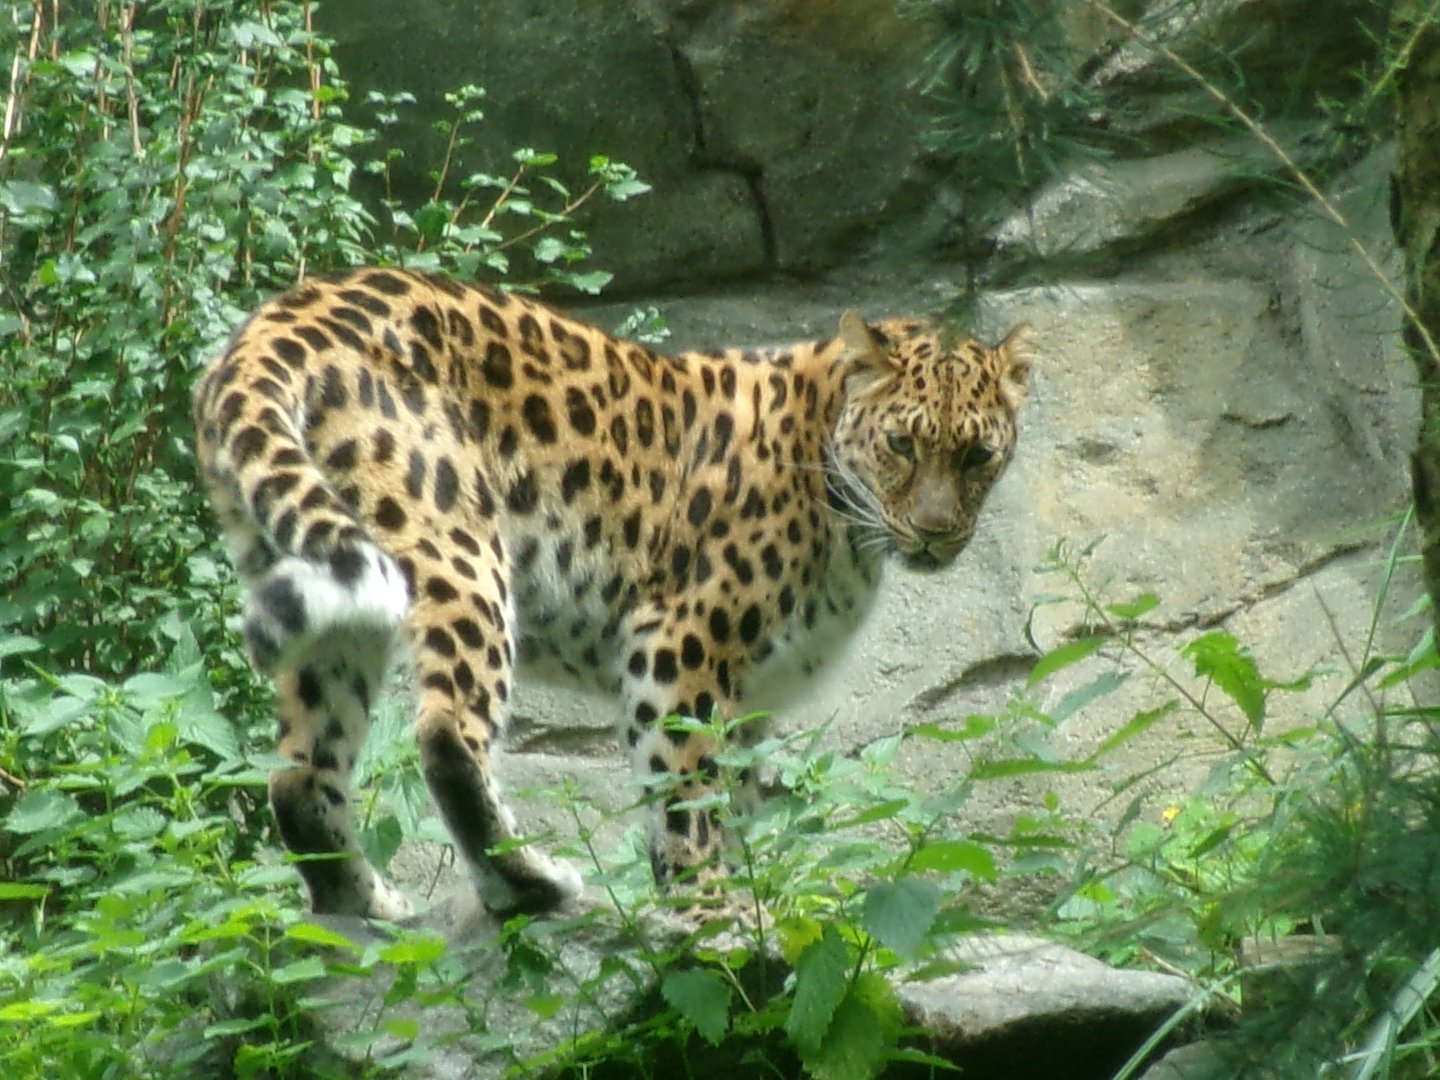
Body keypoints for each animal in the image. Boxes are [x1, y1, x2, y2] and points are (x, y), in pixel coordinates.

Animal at [192, 266, 1034, 921]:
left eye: (977, 455)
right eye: (901, 444)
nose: (936, 533)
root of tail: (275, 321)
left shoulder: (749, 700)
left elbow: (731, 804)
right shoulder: (682, 644)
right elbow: (687, 796)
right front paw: (712, 913)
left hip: (322, 588)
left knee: (298, 774)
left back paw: (368, 908)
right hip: (461, 547)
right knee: (446, 733)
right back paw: (531, 882)